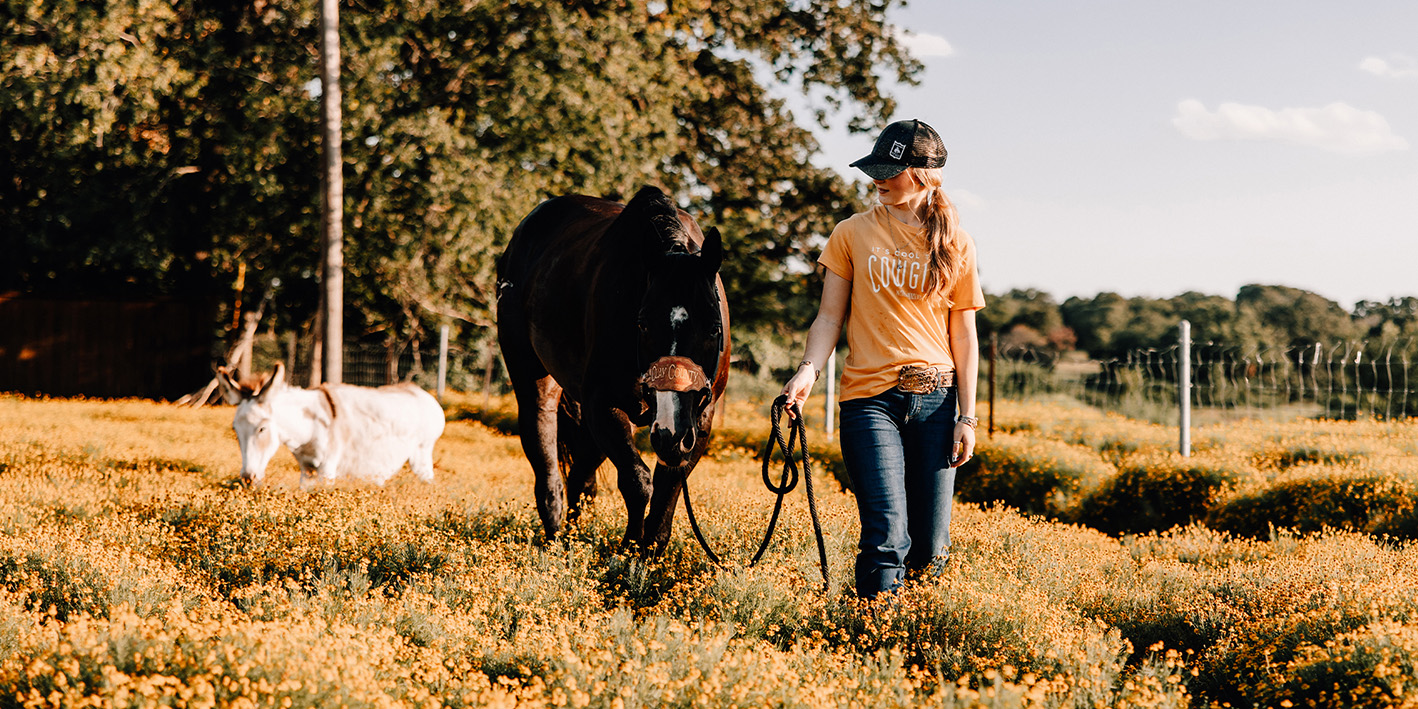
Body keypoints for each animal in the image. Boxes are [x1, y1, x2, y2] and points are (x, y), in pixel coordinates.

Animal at [212, 365, 445, 487]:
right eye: (235, 430)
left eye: (262, 429)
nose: (248, 479)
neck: (308, 430)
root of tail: (421, 393)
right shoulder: (306, 470)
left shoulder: (327, 469)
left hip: (422, 457)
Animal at [493, 185, 731, 550]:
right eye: (643, 324)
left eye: (714, 328)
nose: (672, 432)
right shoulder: (603, 405)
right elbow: (638, 482)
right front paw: (628, 550)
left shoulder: (701, 418)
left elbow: (668, 489)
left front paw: (649, 553)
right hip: (535, 384)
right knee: (547, 465)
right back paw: (556, 541)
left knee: (580, 476)